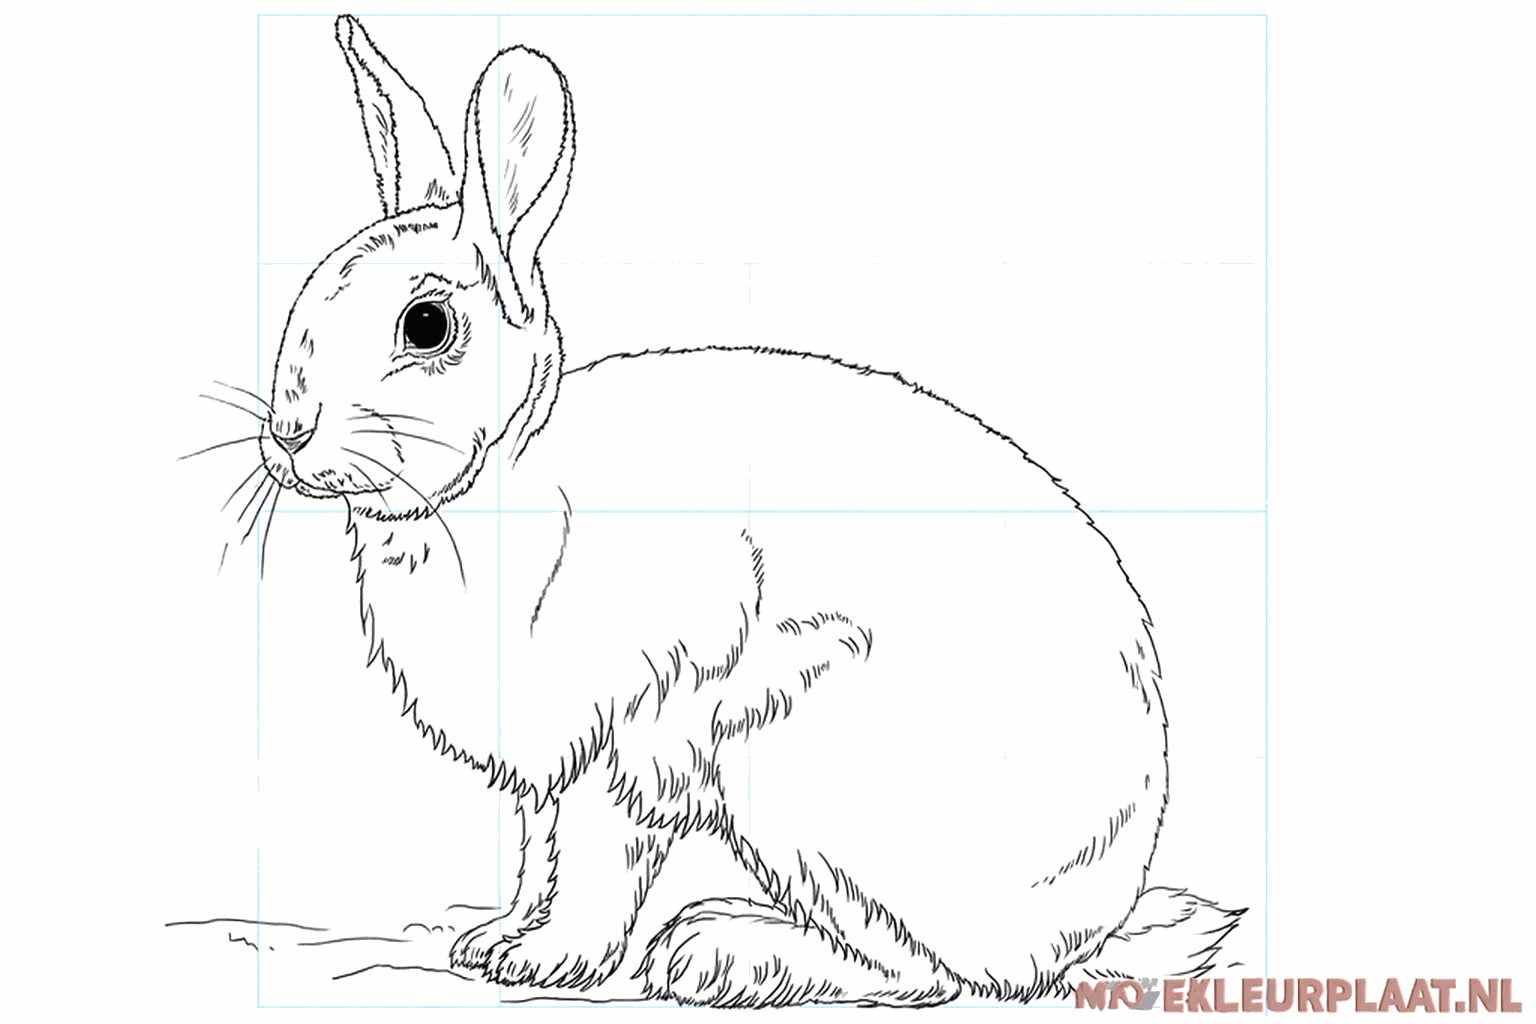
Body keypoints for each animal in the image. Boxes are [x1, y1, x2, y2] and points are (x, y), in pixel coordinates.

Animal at [246, 15, 1242, 1007]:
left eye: (427, 326)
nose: (286, 435)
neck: (500, 483)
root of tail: (1082, 925)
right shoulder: (549, 770)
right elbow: (539, 853)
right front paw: (494, 940)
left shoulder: (631, 734)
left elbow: (597, 861)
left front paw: (549, 962)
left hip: (805, 767)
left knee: (917, 970)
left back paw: (719, 952)